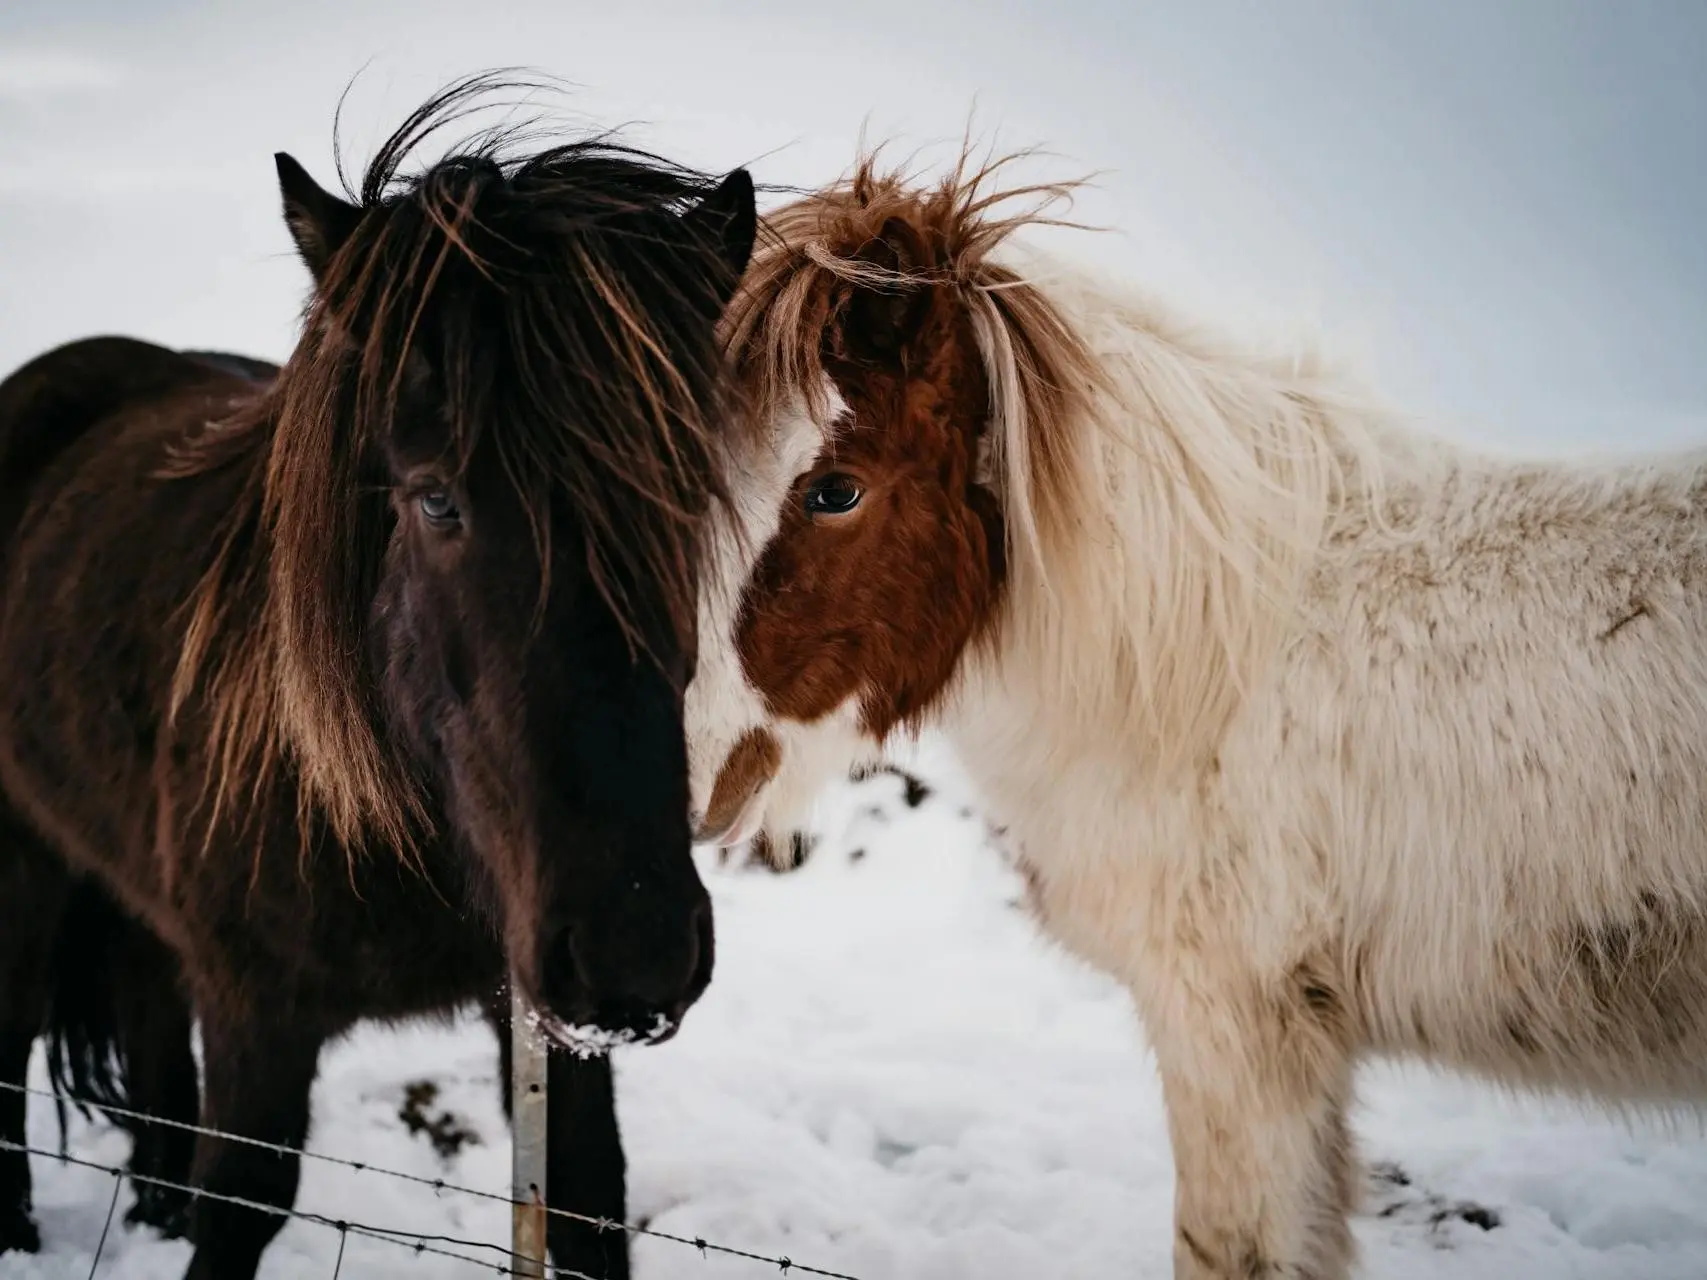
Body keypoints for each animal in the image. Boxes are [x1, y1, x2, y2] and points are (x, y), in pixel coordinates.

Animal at [0, 72, 754, 1280]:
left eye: (685, 497)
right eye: (435, 497)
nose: (634, 948)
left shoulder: (541, 1012)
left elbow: (589, 1201)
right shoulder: (256, 1011)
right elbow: (242, 1203)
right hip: (21, 860)